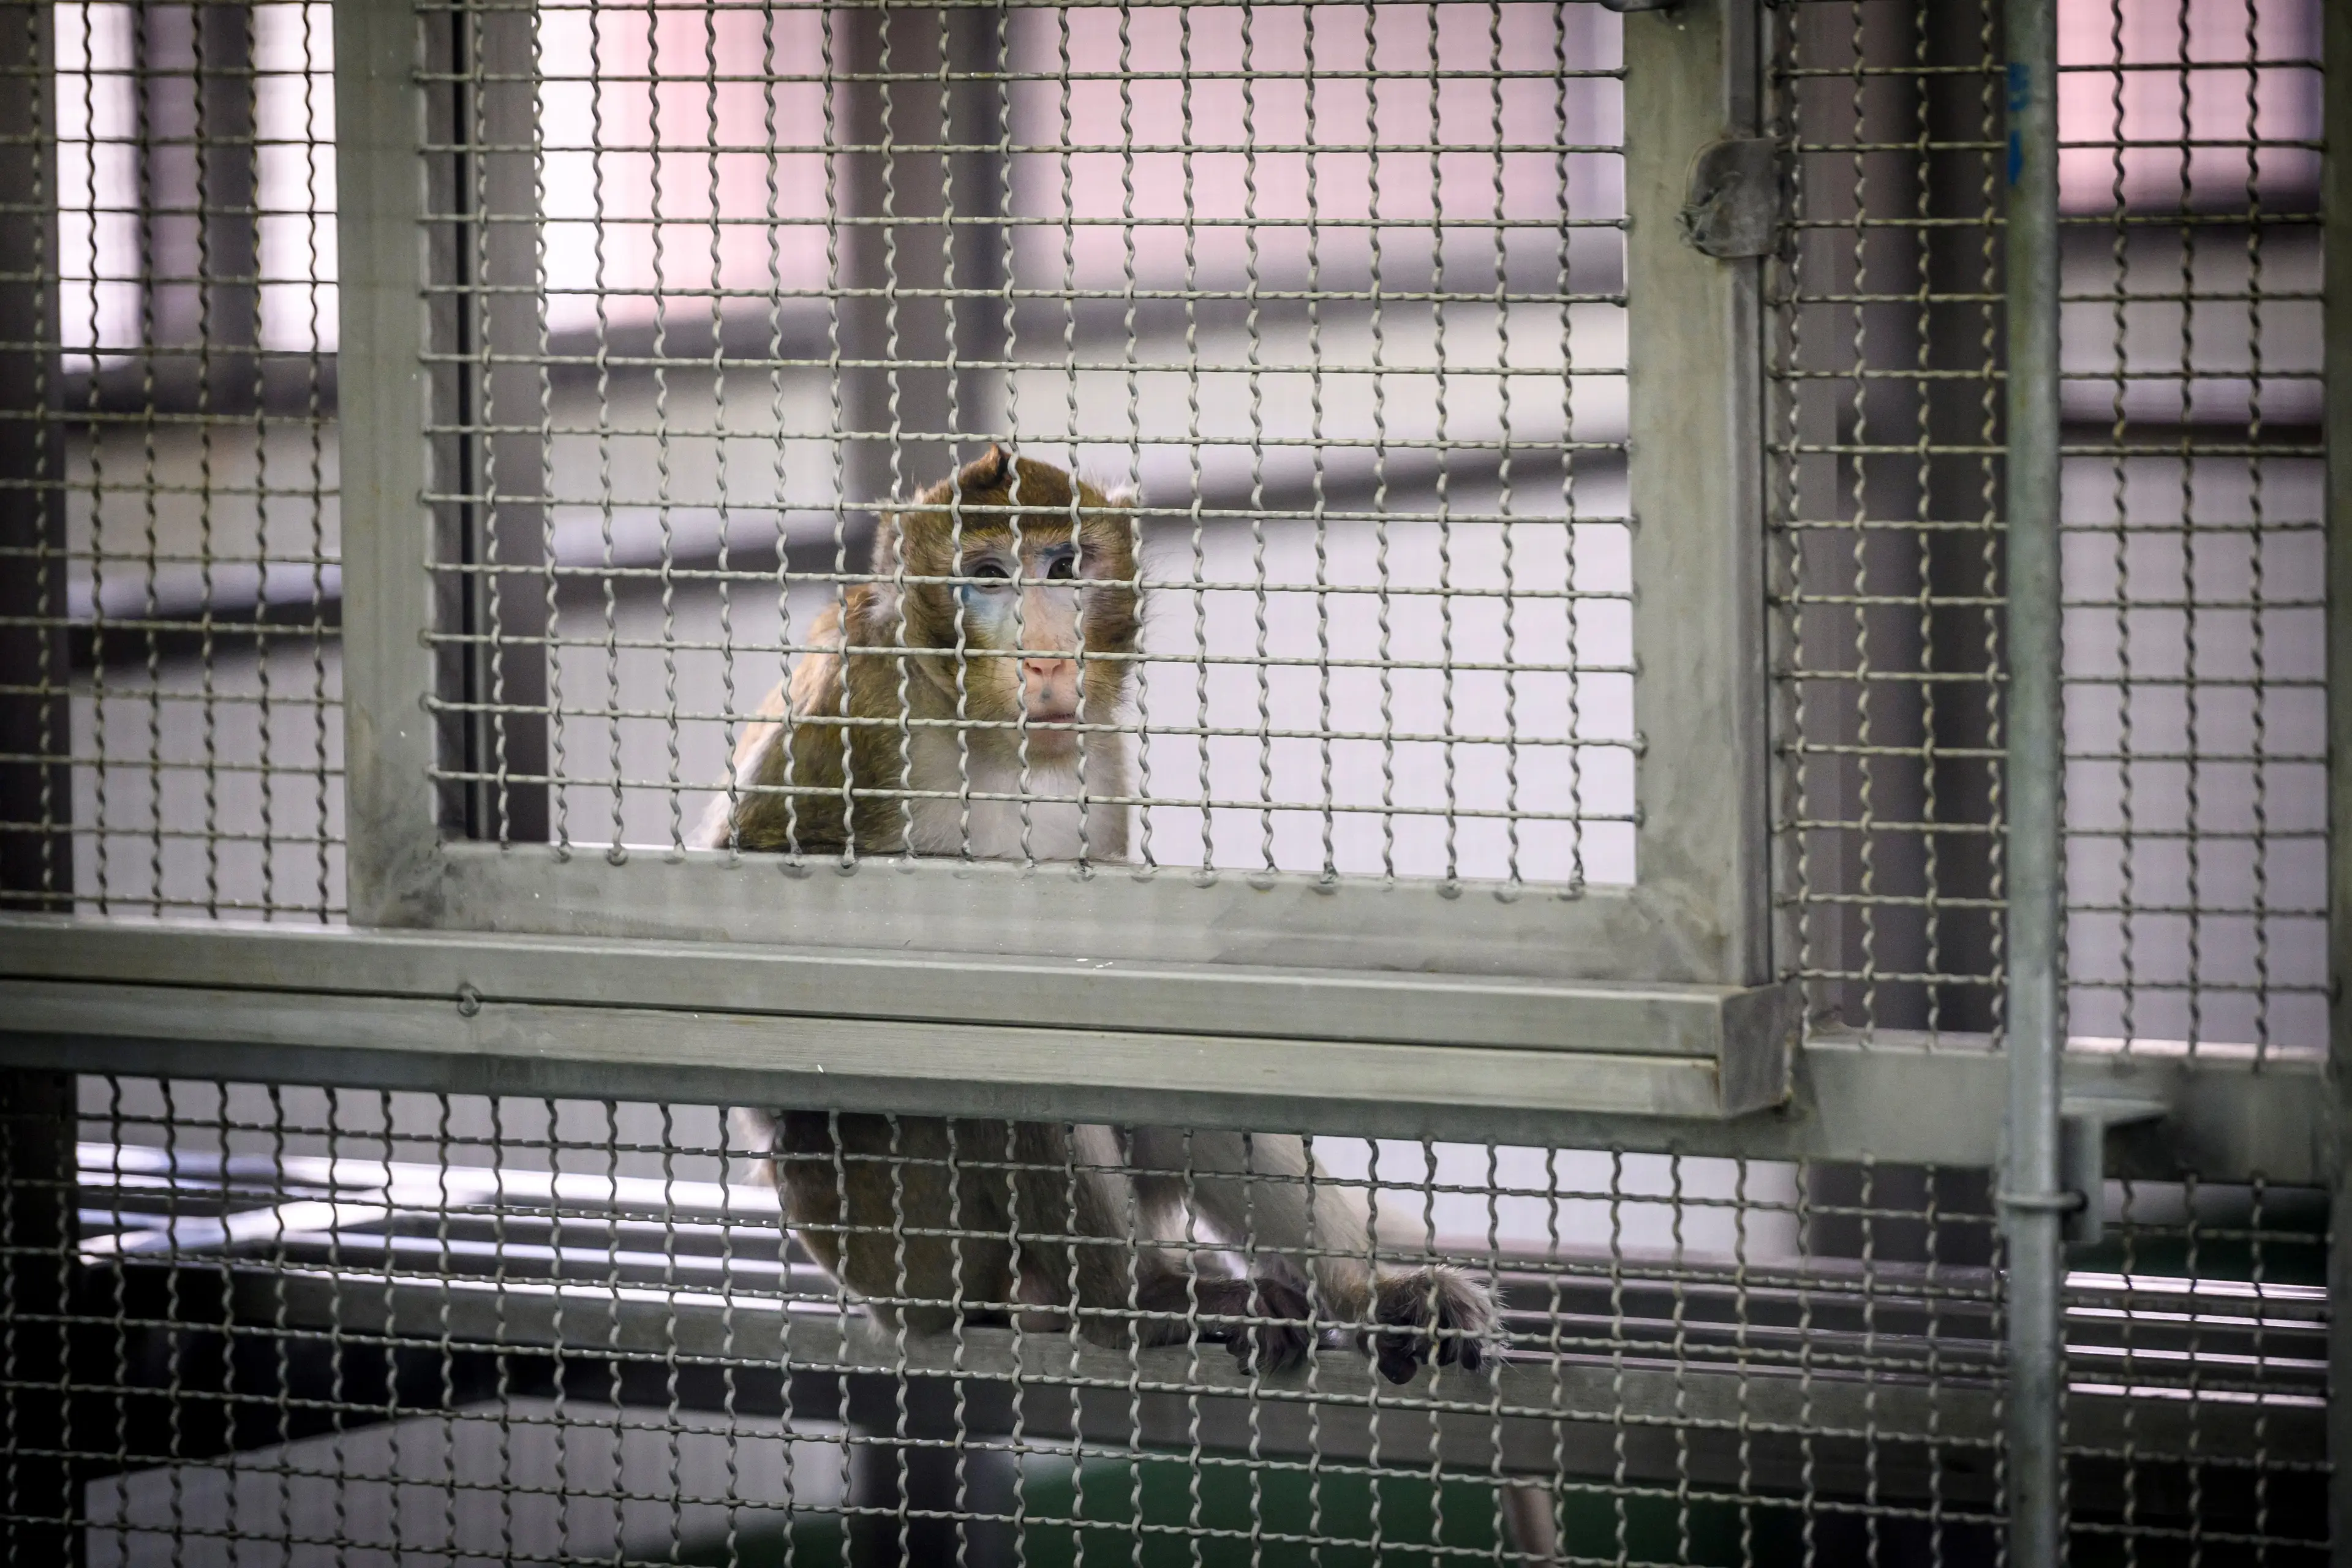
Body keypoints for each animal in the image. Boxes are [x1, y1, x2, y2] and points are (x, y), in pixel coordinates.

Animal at [701, 447, 1495, 1383]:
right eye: (989, 577)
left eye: (1063, 568)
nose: (1048, 661)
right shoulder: (857, 707)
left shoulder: (1100, 756)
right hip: (897, 1240)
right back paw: (1136, 1304)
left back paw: (1372, 1296)